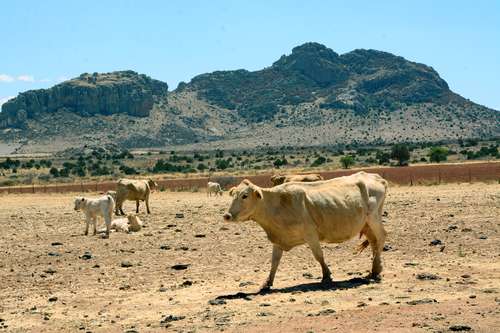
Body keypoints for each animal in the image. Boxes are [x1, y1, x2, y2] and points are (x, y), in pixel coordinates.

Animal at [223, 176, 386, 290]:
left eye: (245, 196)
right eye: (233, 194)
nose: (227, 215)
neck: (277, 205)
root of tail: (376, 177)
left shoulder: (310, 234)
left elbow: (318, 256)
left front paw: (326, 276)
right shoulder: (278, 238)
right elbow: (274, 262)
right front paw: (267, 283)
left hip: (374, 218)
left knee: (381, 237)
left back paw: (376, 269)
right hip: (366, 225)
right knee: (374, 241)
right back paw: (374, 269)